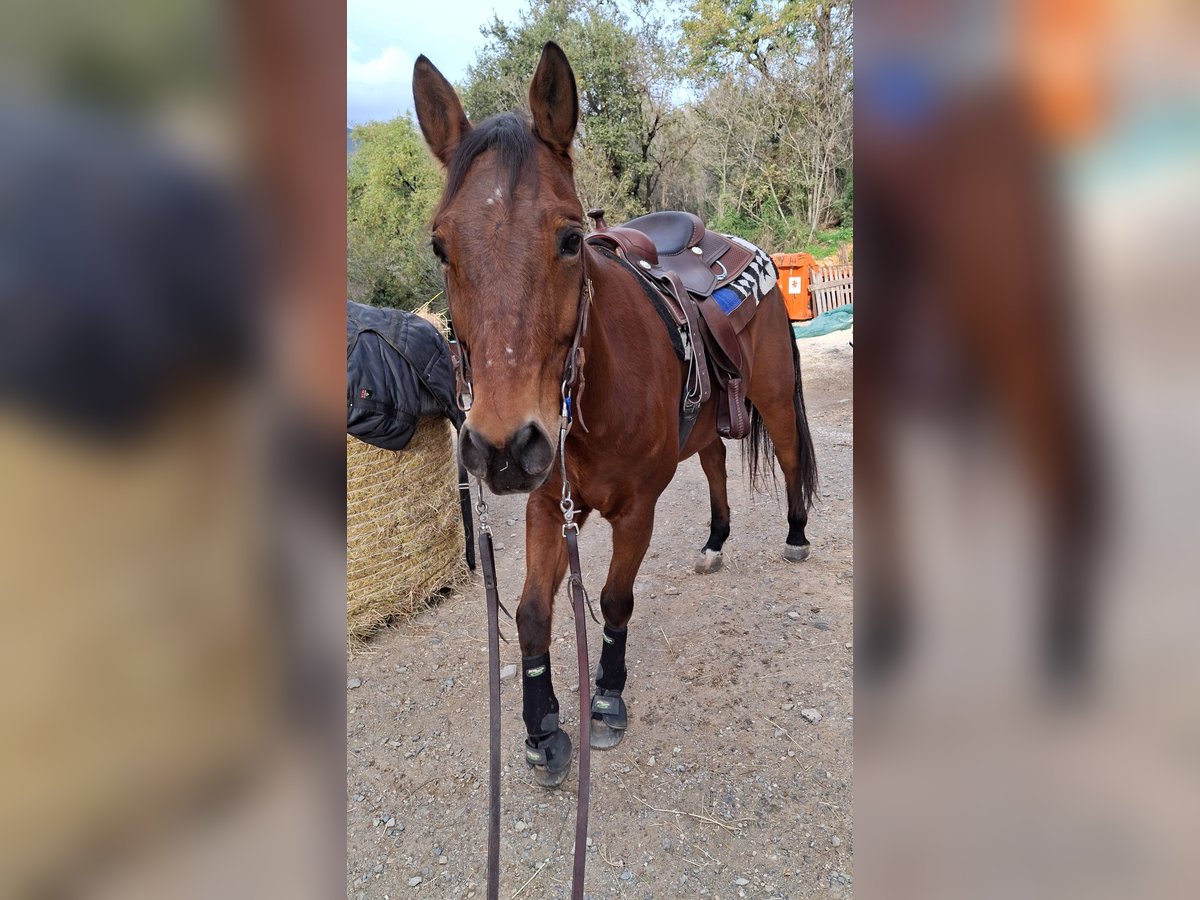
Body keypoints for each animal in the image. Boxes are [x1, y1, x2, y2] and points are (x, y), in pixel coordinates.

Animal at [412, 42, 816, 787]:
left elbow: (614, 600)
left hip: (773, 398)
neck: (588, 403)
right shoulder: (548, 506)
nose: (504, 447)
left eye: (571, 238)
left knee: (790, 456)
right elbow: (532, 613)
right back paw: (715, 542)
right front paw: (542, 726)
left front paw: (605, 697)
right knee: (716, 463)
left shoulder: (636, 511)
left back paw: (797, 534)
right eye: (439, 246)